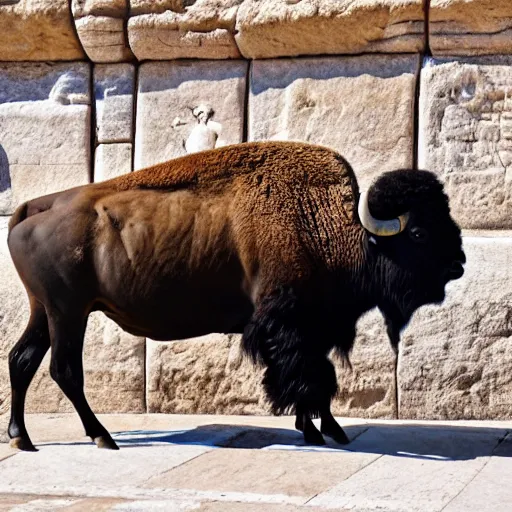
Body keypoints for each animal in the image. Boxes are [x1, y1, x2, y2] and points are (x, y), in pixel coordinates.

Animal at [7, 140, 464, 448]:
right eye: (419, 233)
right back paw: (102, 437)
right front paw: (323, 433)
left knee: (22, 360)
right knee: (64, 370)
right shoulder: (290, 324)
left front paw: (325, 430)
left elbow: (316, 377)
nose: (458, 263)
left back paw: (22, 438)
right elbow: (309, 378)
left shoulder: (313, 328)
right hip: (69, 314)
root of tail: (37, 206)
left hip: (45, 312)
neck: (328, 225)